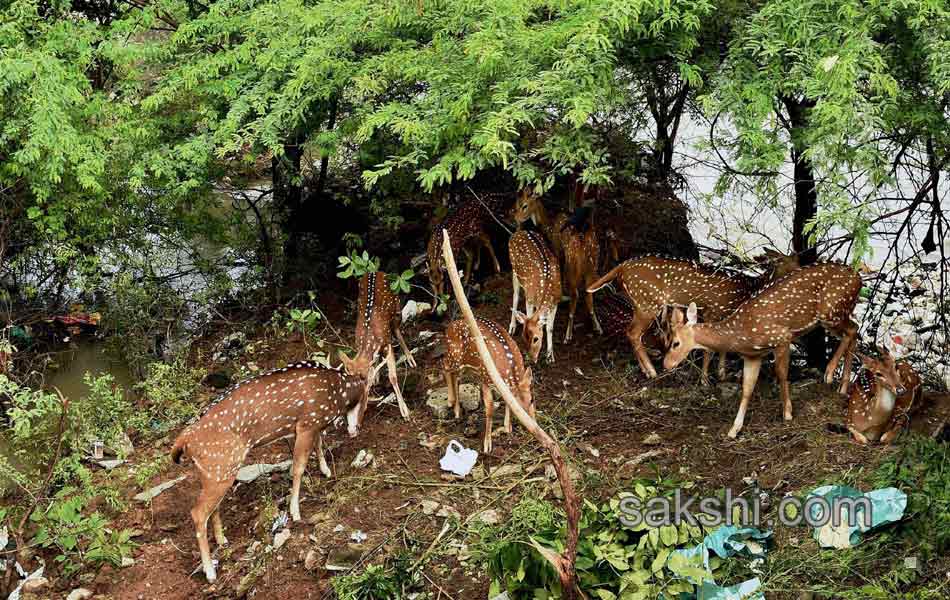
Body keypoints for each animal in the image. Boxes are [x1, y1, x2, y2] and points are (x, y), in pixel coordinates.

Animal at [169, 360, 366, 580]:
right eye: (365, 397)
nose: (356, 429)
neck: (337, 391)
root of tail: (183, 441)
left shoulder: (313, 426)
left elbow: (319, 444)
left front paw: (326, 471)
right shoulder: (306, 423)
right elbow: (298, 468)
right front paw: (295, 512)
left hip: (214, 473)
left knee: (212, 508)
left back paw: (222, 540)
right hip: (221, 468)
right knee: (198, 513)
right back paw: (210, 572)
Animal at [440, 316, 532, 452]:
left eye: (532, 400)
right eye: (518, 410)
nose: (532, 423)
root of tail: (449, 326)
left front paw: (506, 428)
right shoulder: (485, 378)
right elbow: (489, 408)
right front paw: (487, 445)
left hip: (464, 364)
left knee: (455, 375)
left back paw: (456, 410)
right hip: (454, 355)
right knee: (444, 363)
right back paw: (451, 402)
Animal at [510, 229, 560, 360]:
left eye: (536, 339)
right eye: (523, 337)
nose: (531, 358)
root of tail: (519, 231)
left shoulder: (556, 301)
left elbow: (549, 328)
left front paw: (550, 356)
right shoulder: (530, 298)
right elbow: (529, 315)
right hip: (514, 270)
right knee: (515, 296)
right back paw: (511, 327)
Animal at [660, 264, 864, 438]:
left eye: (675, 343)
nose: (665, 364)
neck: (739, 335)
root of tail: (858, 277)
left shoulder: (781, 337)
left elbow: (781, 374)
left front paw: (787, 413)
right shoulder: (753, 356)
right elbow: (747, 388)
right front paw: (734, 429)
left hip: (831, 311)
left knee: (852, 330)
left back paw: (829, 373)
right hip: (835, 314)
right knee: (854, 330)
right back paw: (843, 387)